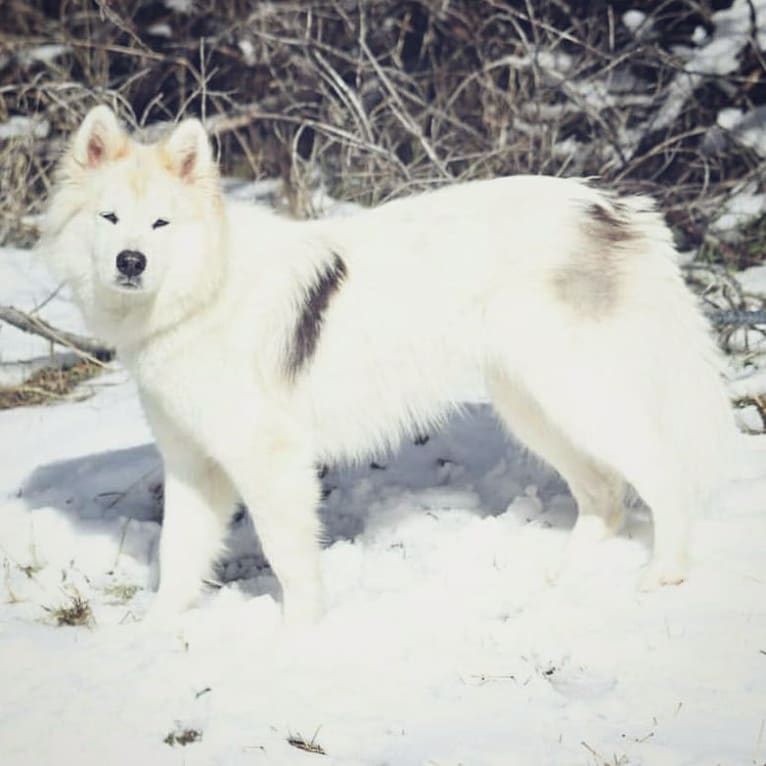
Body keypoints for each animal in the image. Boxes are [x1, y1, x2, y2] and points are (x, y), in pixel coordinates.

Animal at [39, 108, 736, 624]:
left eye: (161, 223)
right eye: (110, 218)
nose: (131, 262)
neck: (205, 288)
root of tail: (612, 210)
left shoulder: (269, 461)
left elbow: (288, 557)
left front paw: (300, 637)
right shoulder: (192, 463)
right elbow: (180, 557)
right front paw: (155, 638)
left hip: (578, 397)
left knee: (663, 477)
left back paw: (665, 572)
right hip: (532, 409)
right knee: (606, 498)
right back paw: (558, 574)